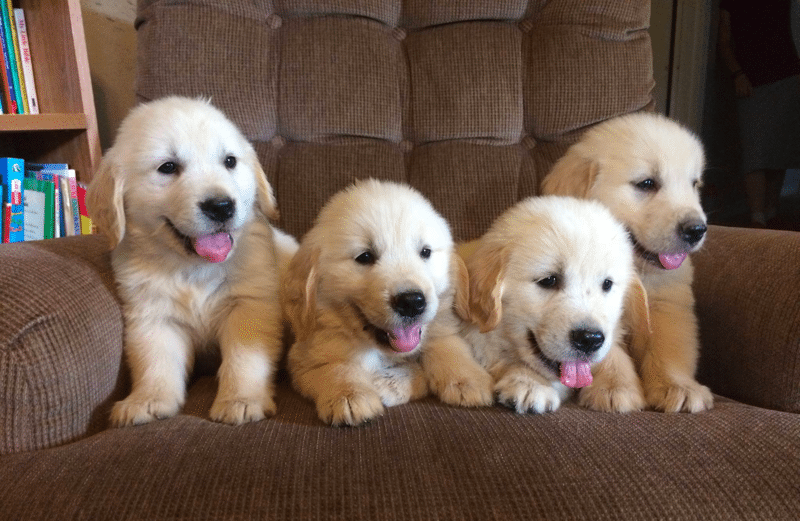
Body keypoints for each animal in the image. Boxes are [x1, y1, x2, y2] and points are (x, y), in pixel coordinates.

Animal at [87, 97, 298, 426]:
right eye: (168, 167)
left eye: (229, 161)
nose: (221, 206)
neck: (193, 268)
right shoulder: (152, 316)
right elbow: (155, 361)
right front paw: (147, 399)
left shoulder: (249, 305)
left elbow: (244, 358)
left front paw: (241, 399)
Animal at [282, 177, 494, 424]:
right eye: (365, 256)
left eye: (425, 252)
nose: (412, 302)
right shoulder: (304, 356)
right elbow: (336, 365)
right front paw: (349, 394)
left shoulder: (440, 326)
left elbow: (447, 344)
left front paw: (467, 379)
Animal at [460, 196, 648, 414]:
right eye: (549, 280)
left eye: (607, 284)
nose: (590, 339)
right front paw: (531, 383)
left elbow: (614, 352)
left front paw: (616, 386)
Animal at [544, 111, 712, 412]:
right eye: (647, 183)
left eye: (694, 184)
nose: (697, 230)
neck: (637, 273)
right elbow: (607, 354)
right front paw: (615, 389)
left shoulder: (668, 306)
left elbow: (669, 351)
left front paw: (679, 387)